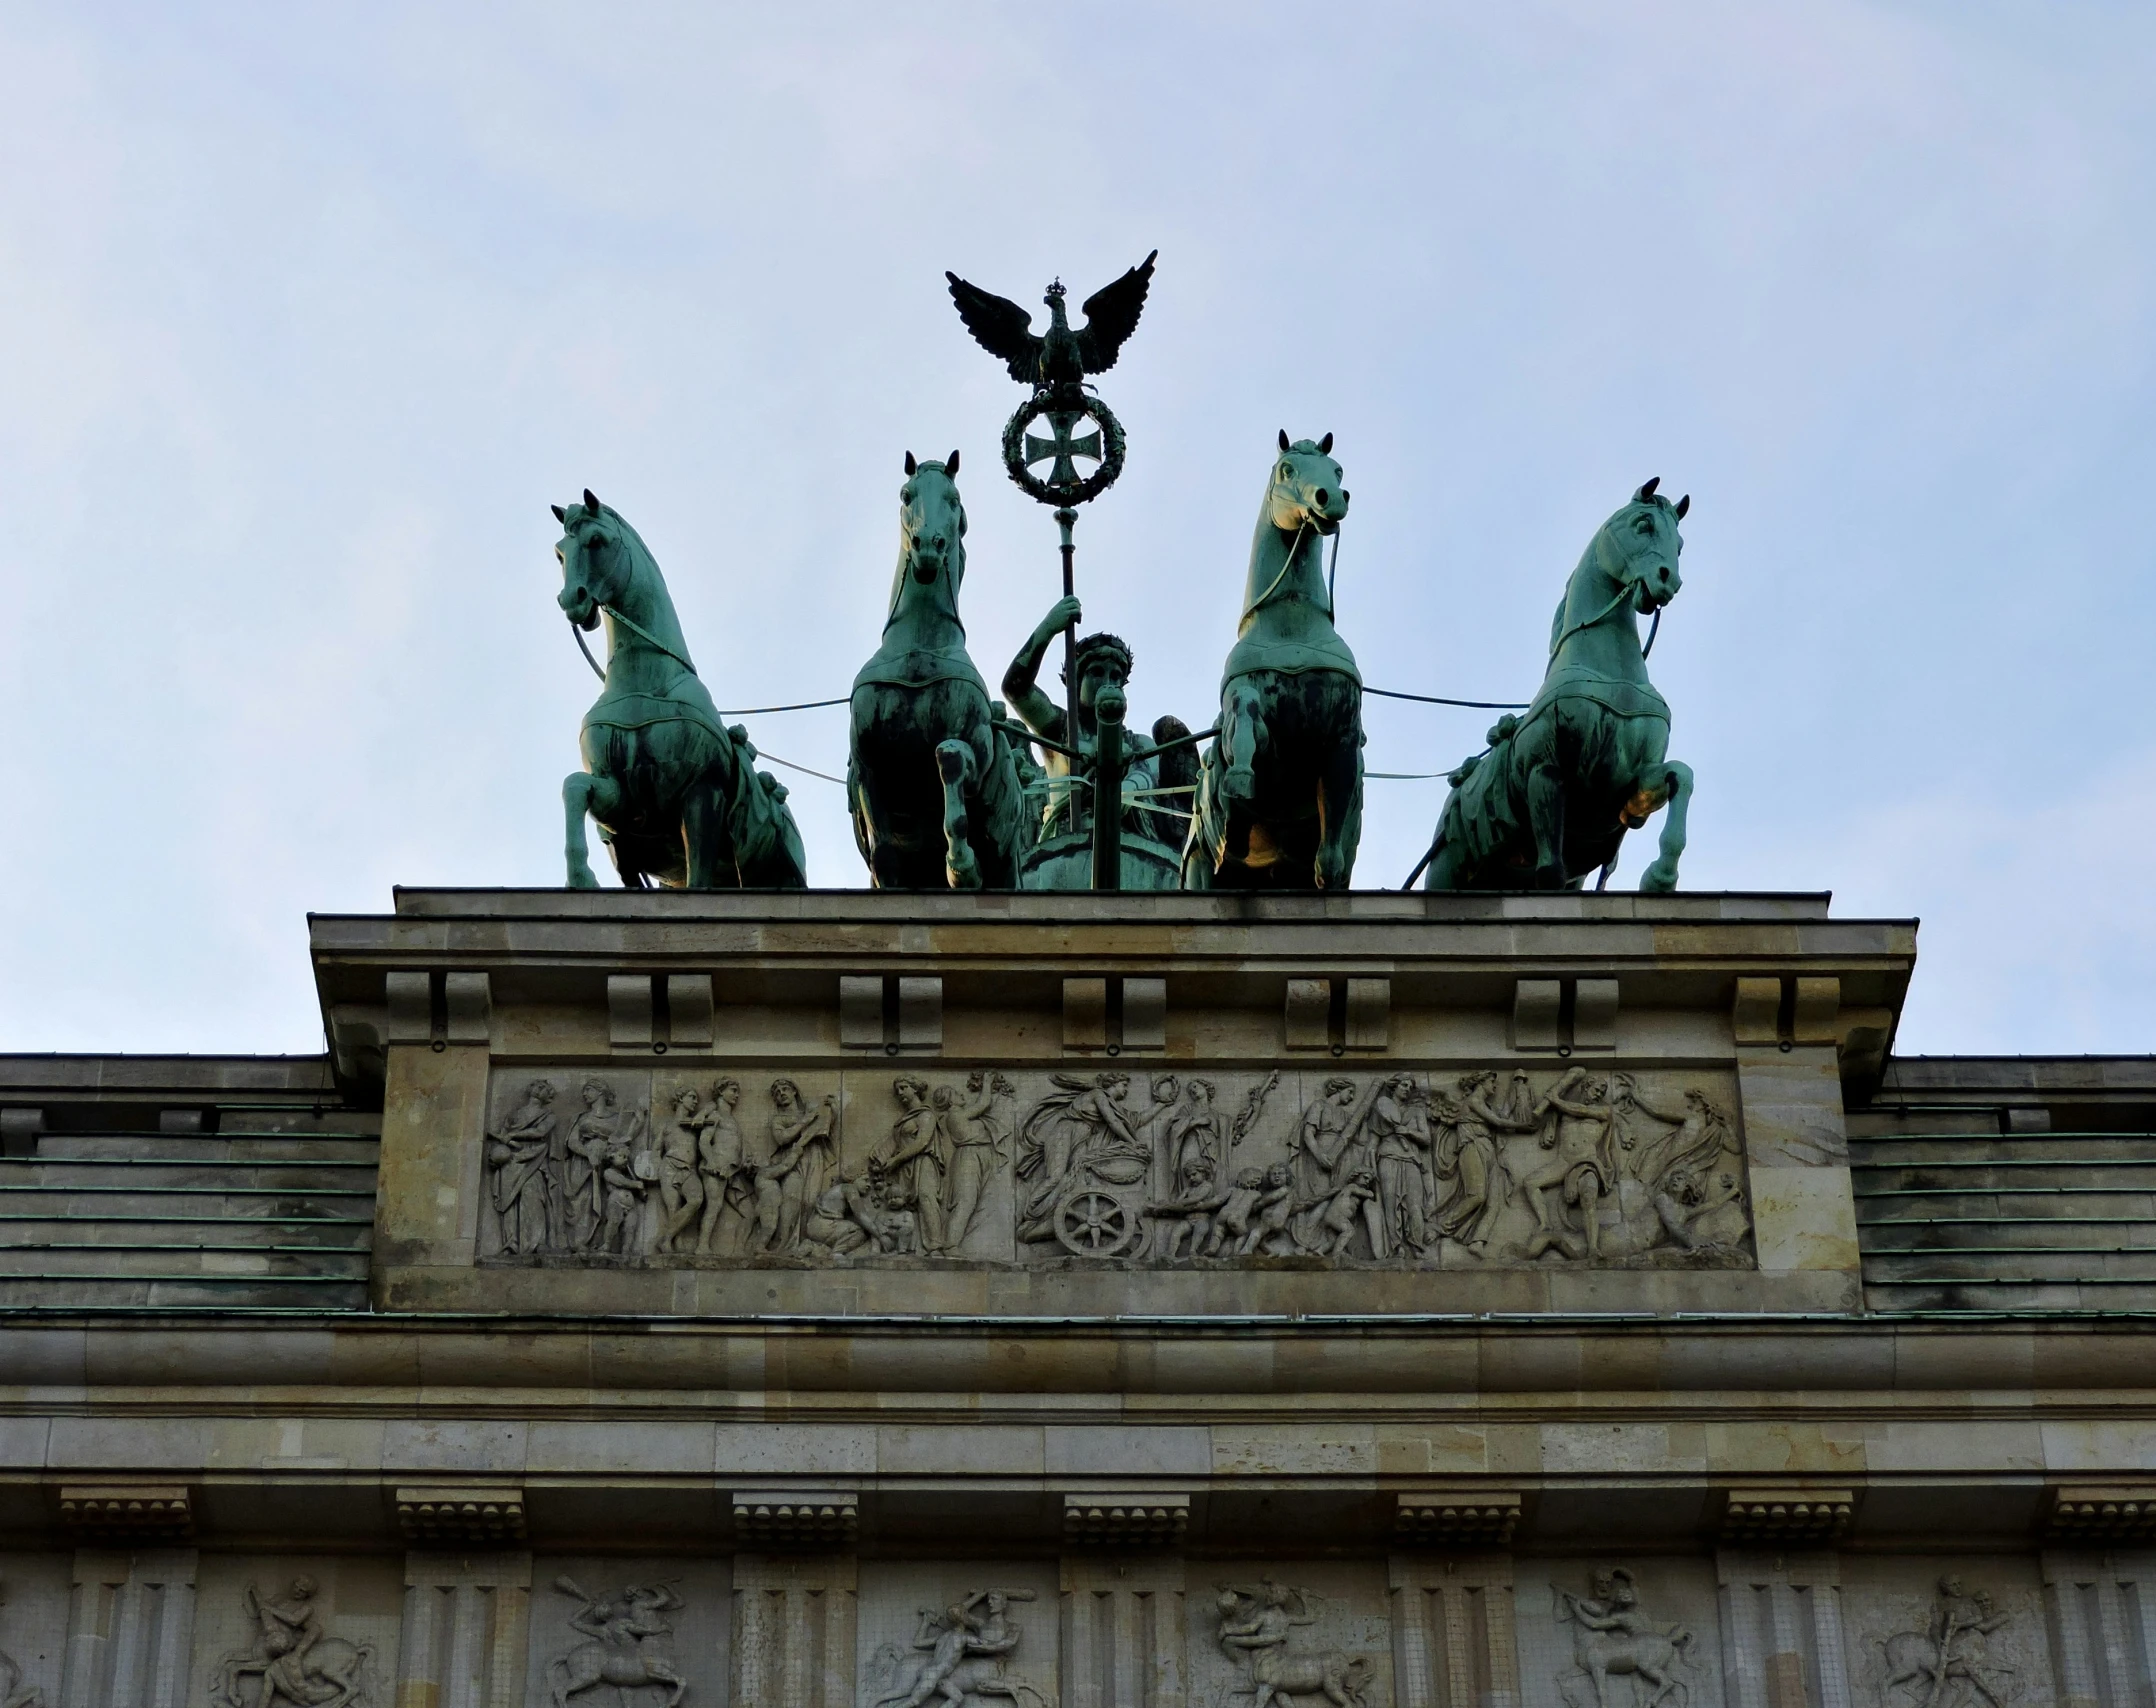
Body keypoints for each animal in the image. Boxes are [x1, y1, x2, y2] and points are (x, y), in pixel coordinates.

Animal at [556, 487, 810, 888]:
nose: (571, 601)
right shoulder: (623, 801)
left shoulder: (701, 793)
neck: (645, 683)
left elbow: (698, 878)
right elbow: (575, 786)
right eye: (559, 551)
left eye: (596, 540)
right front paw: (581, 877)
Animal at [845, 452, 1030, 888]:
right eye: (906, 495)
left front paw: (962, 866)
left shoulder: (974, 749)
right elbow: (883, 857)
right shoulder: (866, 767)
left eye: (954, 498)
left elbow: (949, 758)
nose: (928, 547)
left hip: (1007, 860)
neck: (918, 648)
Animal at [1181, 431, 1362, 892]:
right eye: (1286, 469)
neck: (1290, 628)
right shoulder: (1245, 716)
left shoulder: (1342, 738)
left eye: (1338, 470)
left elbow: (1330, 859)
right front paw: (1240, 777)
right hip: (1200, 867)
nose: (1331, 498)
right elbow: (1246, 717)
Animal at [1422, 474, 1690, 888]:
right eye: (1643, 524)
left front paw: (1660, 876)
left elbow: (1682, 775)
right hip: (1446, 869)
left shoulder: (1628, 787)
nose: (1668, 582)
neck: (1610, 674)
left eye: (1679, 544)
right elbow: (1549, 873)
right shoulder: (1545, 771)